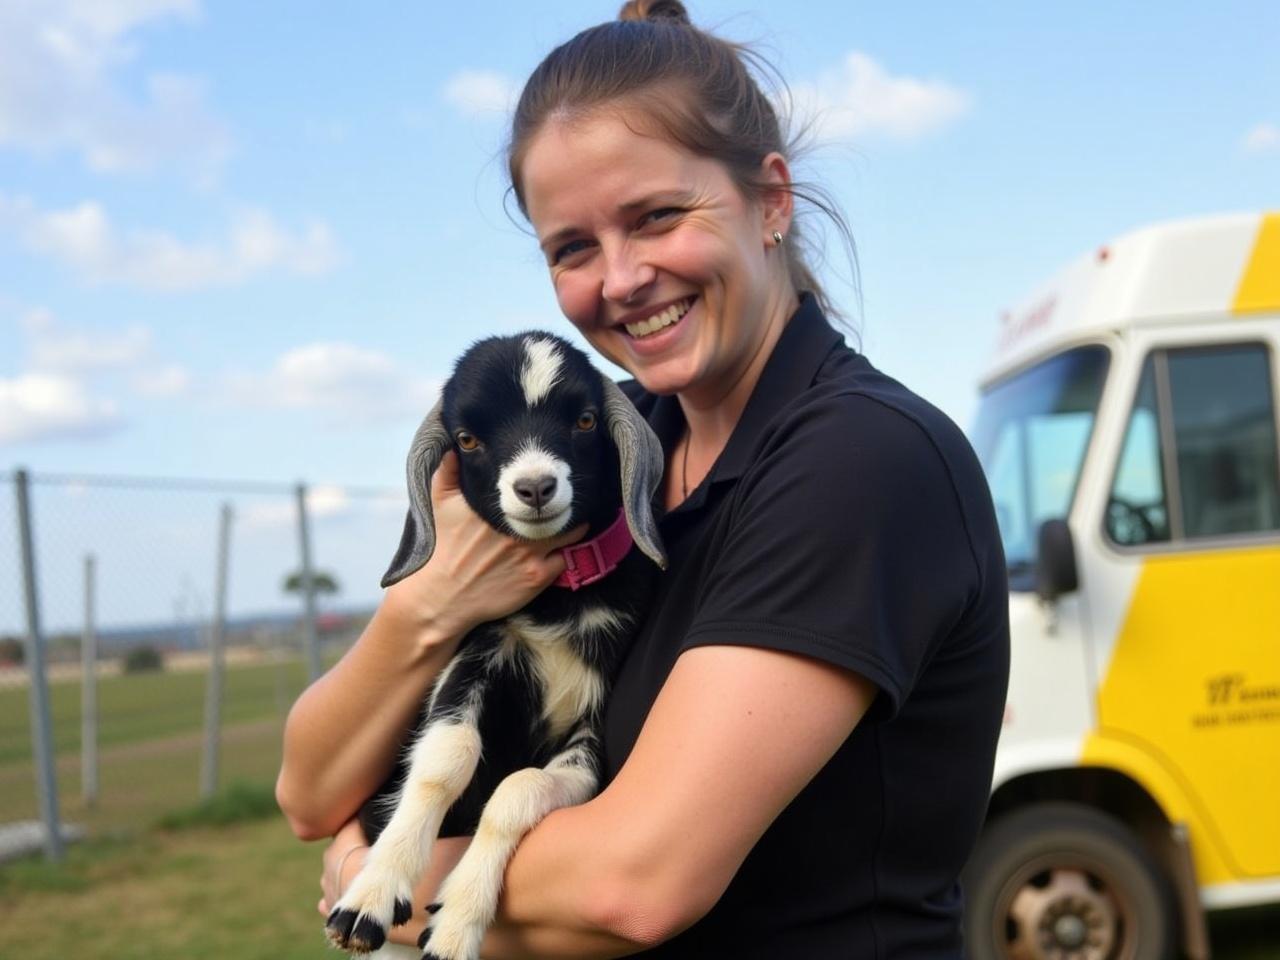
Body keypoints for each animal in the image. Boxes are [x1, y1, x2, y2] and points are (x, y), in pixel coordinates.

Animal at [325, 332, 665, 960]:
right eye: (467, 438)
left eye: (585, 420)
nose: (535, 487)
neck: (558, 600)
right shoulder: (476, 655)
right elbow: (445, 761)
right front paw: (371, 896)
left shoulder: (591, 728)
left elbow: (518, 788)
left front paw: (457, 919)